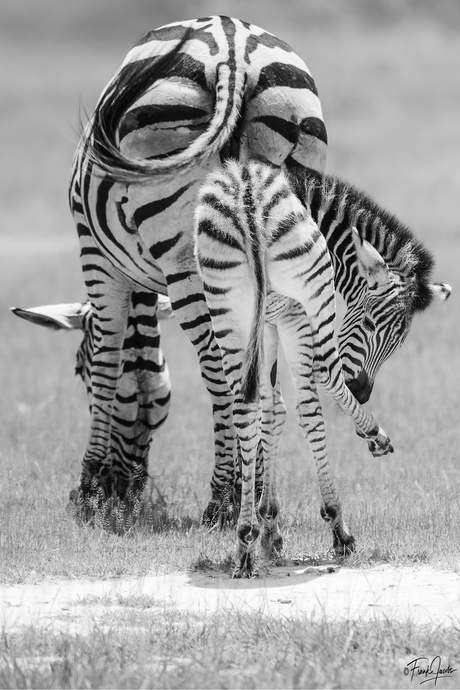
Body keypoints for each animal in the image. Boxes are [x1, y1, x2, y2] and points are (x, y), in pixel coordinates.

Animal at [70, 16, 328, 508]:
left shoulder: (95, 256)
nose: (128, 485)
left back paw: (223, 497)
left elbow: (110, 358)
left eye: (78, 373)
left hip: (187, 258)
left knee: (220, 368)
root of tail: (232, 47)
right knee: (257, 367)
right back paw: (252, 494)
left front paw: (89, 483)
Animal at [195, 159, 450, 577]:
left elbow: (270, 411)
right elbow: (292, 406)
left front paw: (268, 526)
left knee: (245, 408)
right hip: (310, 304)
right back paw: (342, 516)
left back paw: (245, 543)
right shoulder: (286, 317)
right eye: (369, 324)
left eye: (399, 343)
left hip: (228, 308)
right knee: (320, 388)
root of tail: (249, 200)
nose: (362, 390)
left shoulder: (266, 320)